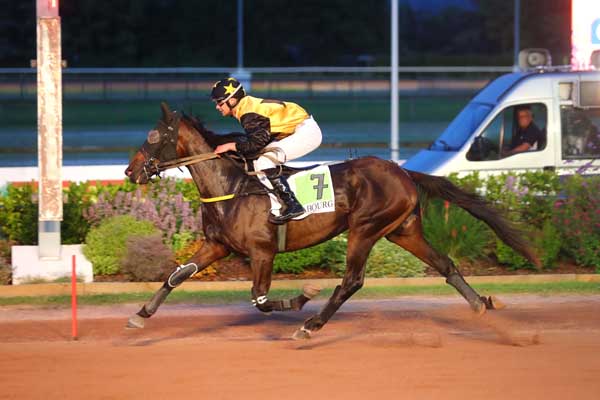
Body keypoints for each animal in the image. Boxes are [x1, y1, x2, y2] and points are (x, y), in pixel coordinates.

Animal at [123, 101, 540, 340]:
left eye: (154, 135)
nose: (130, 172)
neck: (232, 186)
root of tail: (403, 172)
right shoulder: (218, 245)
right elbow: (176, 276)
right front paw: (140, 316)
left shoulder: (262, 251)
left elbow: (260, 299)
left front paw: (302, 297)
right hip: (402, 230)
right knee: (445, 264)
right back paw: (480, 304)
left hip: (365, 229)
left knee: (351, 281)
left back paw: (311, 326)